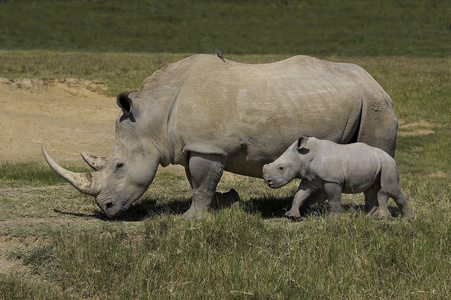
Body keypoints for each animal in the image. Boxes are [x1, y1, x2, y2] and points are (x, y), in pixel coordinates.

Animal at [264, 137, 414, 219]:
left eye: (281, 168)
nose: (269, 182)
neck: (304, 156)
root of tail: (388, 156)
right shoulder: (309, 180)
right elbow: (299, 195)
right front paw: (291, 215)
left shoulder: (332, 180)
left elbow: (333, 200)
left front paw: (332, 219)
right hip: (374, 163)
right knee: (370, 191)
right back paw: (365, 218)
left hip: (388, 164)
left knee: (390, 189)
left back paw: (407, 219)